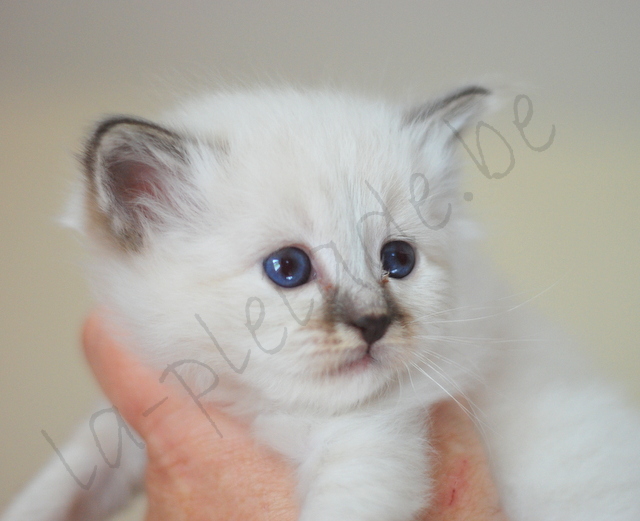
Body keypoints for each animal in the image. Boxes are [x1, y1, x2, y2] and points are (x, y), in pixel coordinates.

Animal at [5, 86, 640, 520]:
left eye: (398, 260)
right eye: (288, 269)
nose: (374, 324)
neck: (265, 409)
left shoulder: (370, 443)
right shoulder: (143, 415)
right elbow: (69, 476)